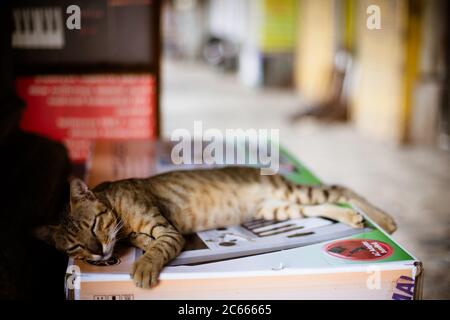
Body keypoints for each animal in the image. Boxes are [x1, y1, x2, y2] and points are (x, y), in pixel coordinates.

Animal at [33, 166, 396, 288]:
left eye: (94, 223)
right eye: (75, 246)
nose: (97, 250)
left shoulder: (166, 231)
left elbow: (157, 249)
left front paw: (144, 269)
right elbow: (140, 242)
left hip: (290, 193)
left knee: (342, 190)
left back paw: (385, 220)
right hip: (276, 206)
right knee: (319, 207)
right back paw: (354, 219)